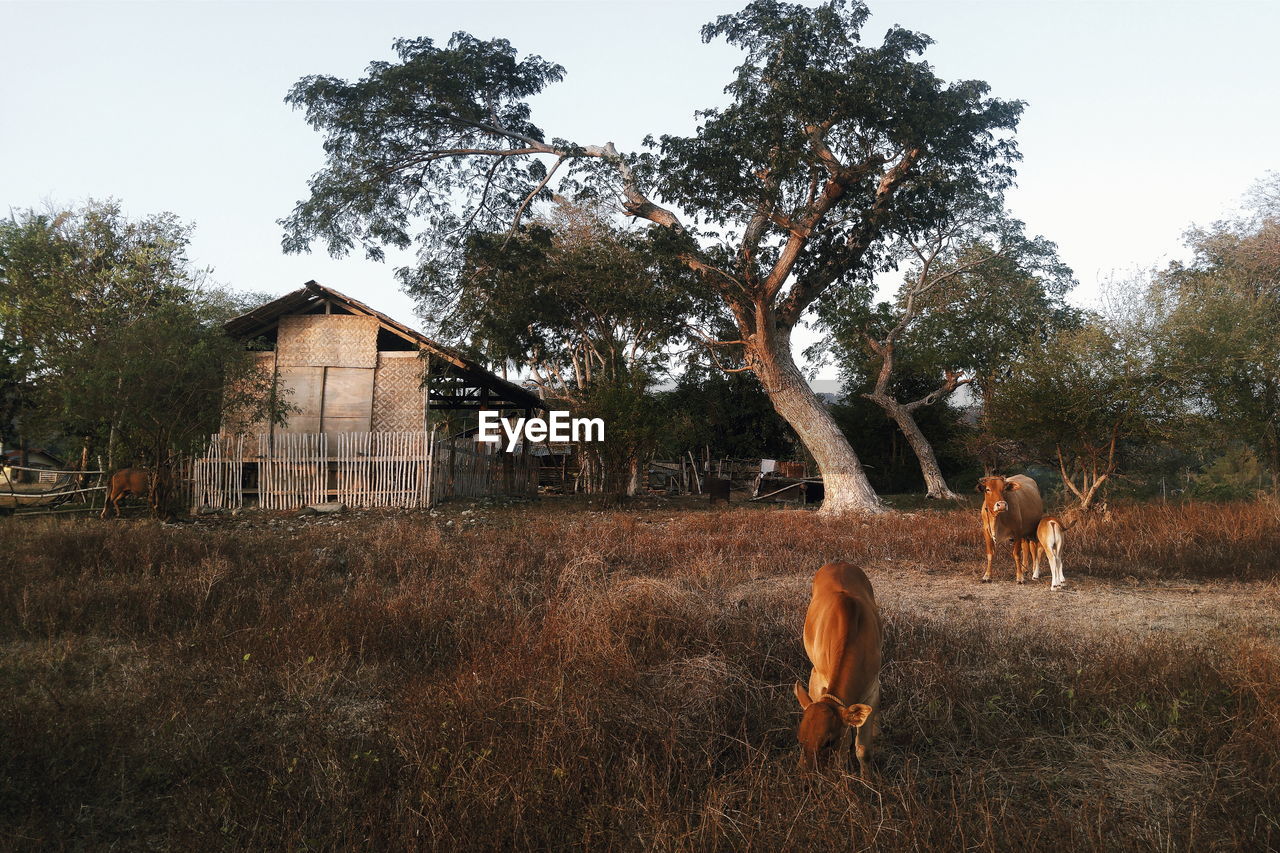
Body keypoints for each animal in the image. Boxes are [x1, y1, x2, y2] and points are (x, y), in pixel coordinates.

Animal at [788, 560, 880, 773]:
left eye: (828, 742)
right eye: (799, 739)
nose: (806, 775)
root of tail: (840, 562)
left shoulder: (873, 689)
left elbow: (864, 751)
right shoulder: (816, 676)